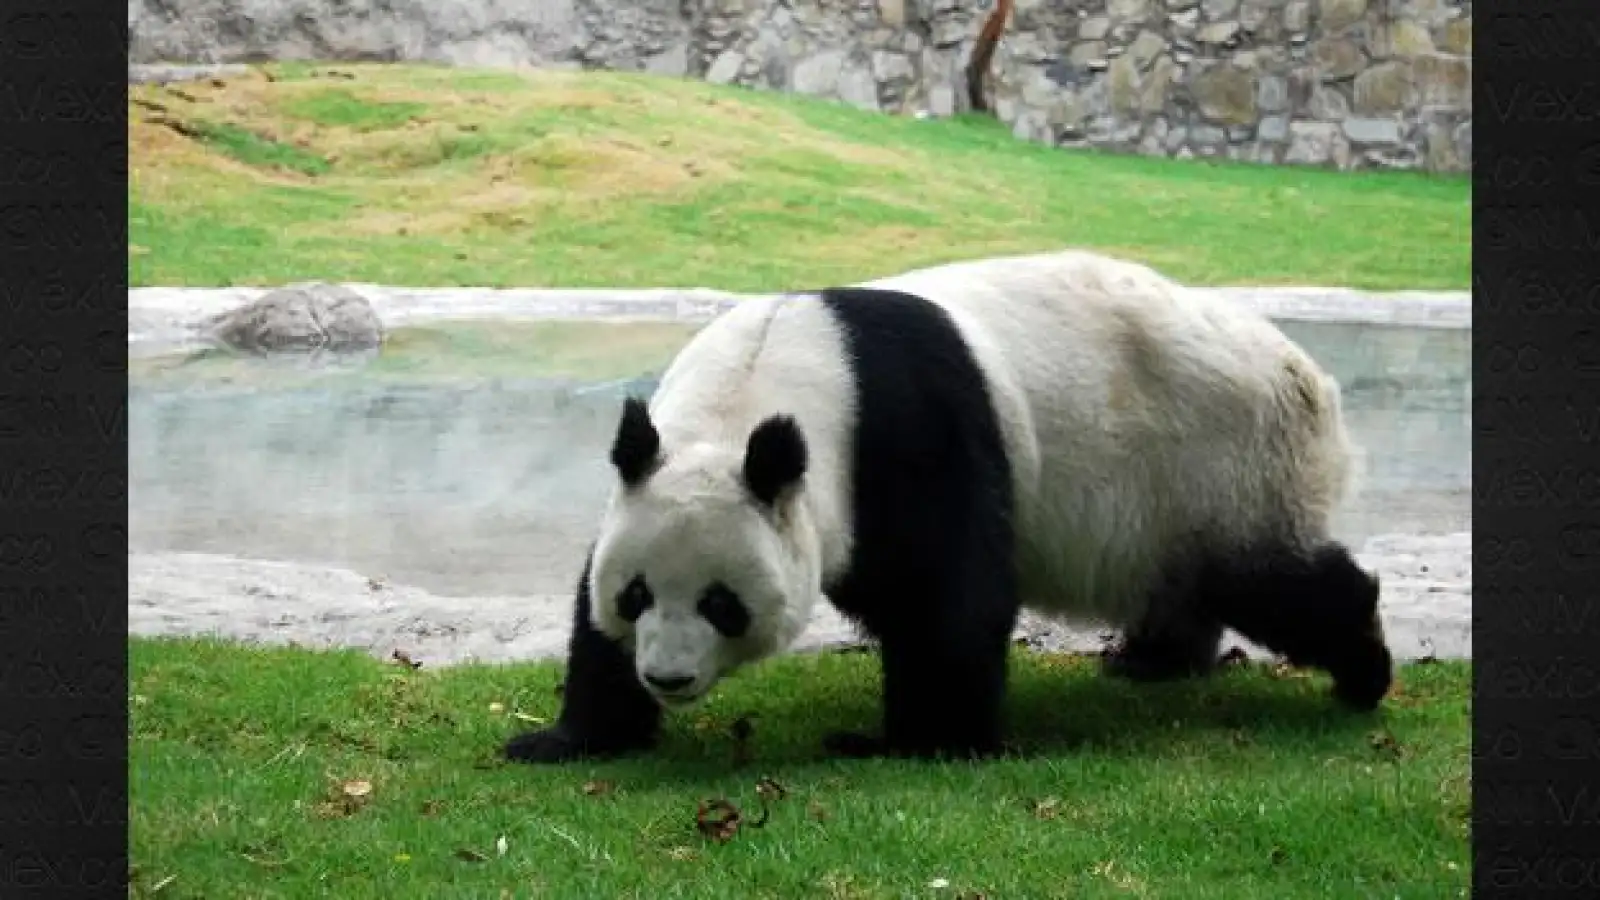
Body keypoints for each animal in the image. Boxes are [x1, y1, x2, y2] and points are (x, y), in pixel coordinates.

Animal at [503, 249, 1394, 764]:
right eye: (637, 595)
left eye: (722, 603)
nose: (669, 676)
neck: (760, 386)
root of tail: (1311, 375)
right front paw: (567, 737)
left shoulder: (906, 430)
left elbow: (946, 594)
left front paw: (906, 742)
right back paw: (1152, 661)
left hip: (1221, 459)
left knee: (1273, 578)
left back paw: (1362, 672)